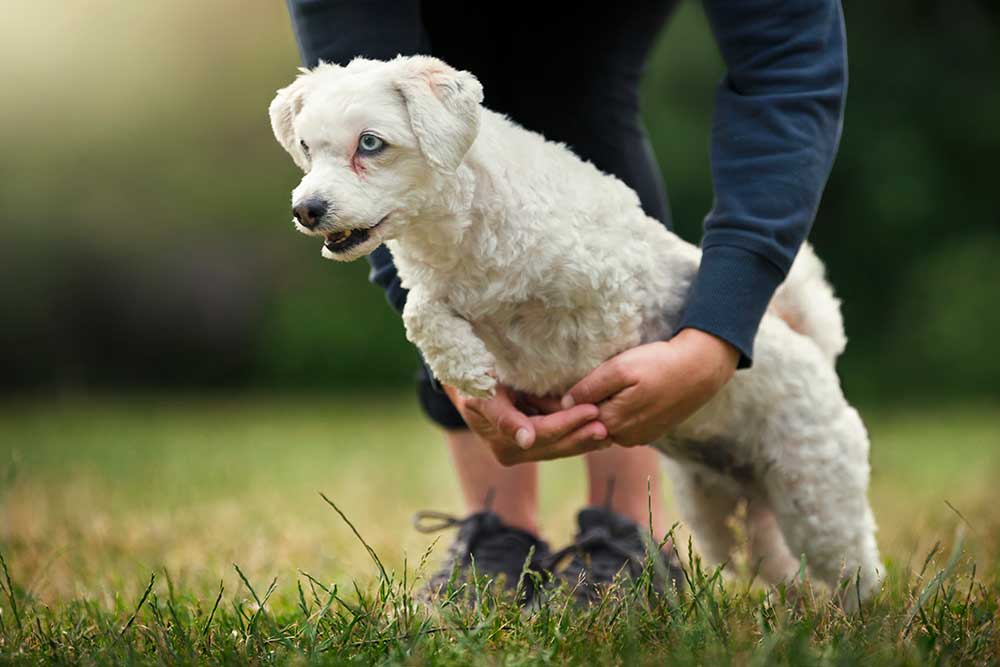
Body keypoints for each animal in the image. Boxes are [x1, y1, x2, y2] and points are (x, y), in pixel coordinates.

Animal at [268, 56, 884, 600]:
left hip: (816, 494)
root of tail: (813, 348)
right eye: (307, 148)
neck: (462, 234)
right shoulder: (435, 290)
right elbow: (421, 312)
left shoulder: (608, 281)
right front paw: (469, 368)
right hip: (726, 516)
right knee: (786, 573)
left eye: (370, 144)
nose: (307, 209)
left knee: (857, 576)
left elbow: (593, 336)